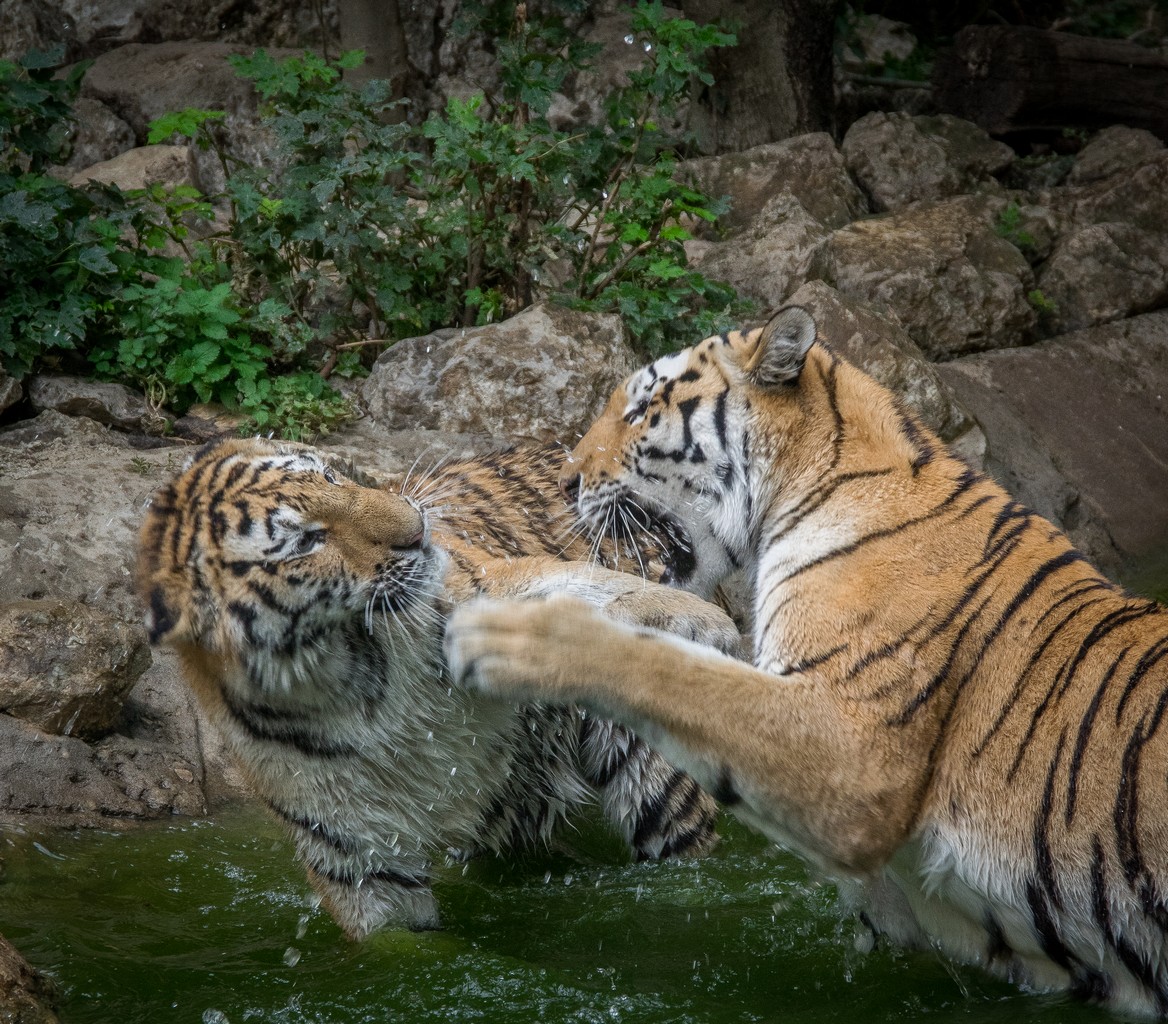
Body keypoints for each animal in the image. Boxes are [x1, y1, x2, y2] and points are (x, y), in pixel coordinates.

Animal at [136, 434, 738, 938]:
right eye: (306, 541)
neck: (356, 672)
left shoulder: (483, 590)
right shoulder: (360, 857)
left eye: (331, 476)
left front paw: (698, 624)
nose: (416, 529)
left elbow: (575, 587)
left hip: (657, 781)